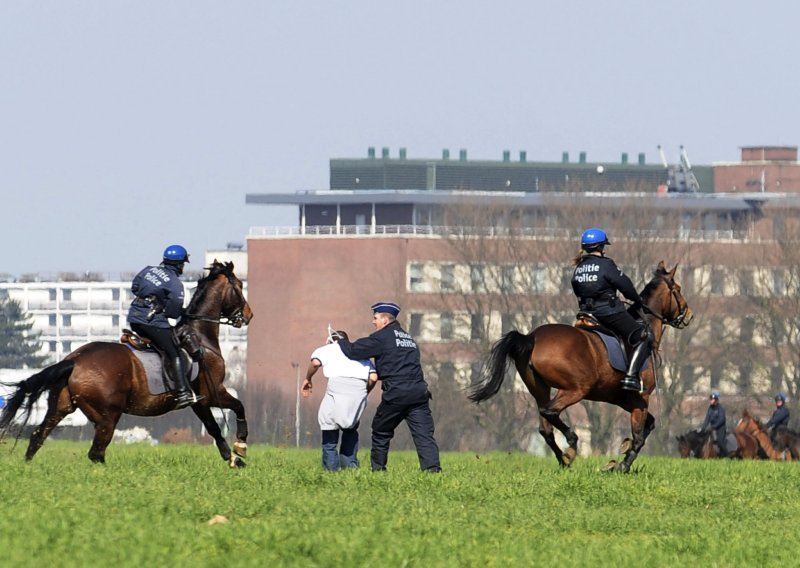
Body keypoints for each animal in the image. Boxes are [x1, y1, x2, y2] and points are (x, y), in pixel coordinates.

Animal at [0, 260, 253, 468]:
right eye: (240, 286)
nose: (248, 315)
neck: (200, 338)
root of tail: (74, 360)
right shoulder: (211, 394)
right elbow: (236, 409)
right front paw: (240, 449)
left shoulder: (200, 402)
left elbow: (213, 428)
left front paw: (232, 458)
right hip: (107, 416)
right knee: (96, 452)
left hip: (61, 407)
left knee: (38, 436)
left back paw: (28, 467)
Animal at [472, 260, 692, 470]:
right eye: (678, 289)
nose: (689, 314)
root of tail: (531, 337)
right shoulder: (641, 398)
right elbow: (639, 438)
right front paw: (622, 465)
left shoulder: (622, 399)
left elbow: (650, 425)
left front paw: (622, 449)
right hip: (575, 389)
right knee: (550, 413)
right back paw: (572, 443)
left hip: (541, 390)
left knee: (545, 428)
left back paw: (564, 459)